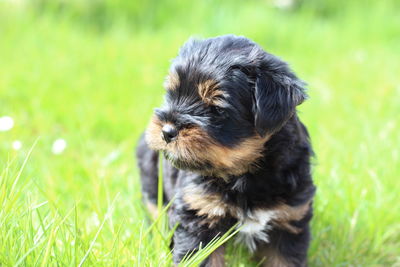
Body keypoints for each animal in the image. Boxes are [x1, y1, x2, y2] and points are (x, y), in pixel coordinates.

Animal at [138, 35, 316, 267]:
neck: (245, 174)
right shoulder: (200, 215)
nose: (167, 131)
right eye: (172, 94)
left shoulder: (288, 219)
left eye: (216, 109)